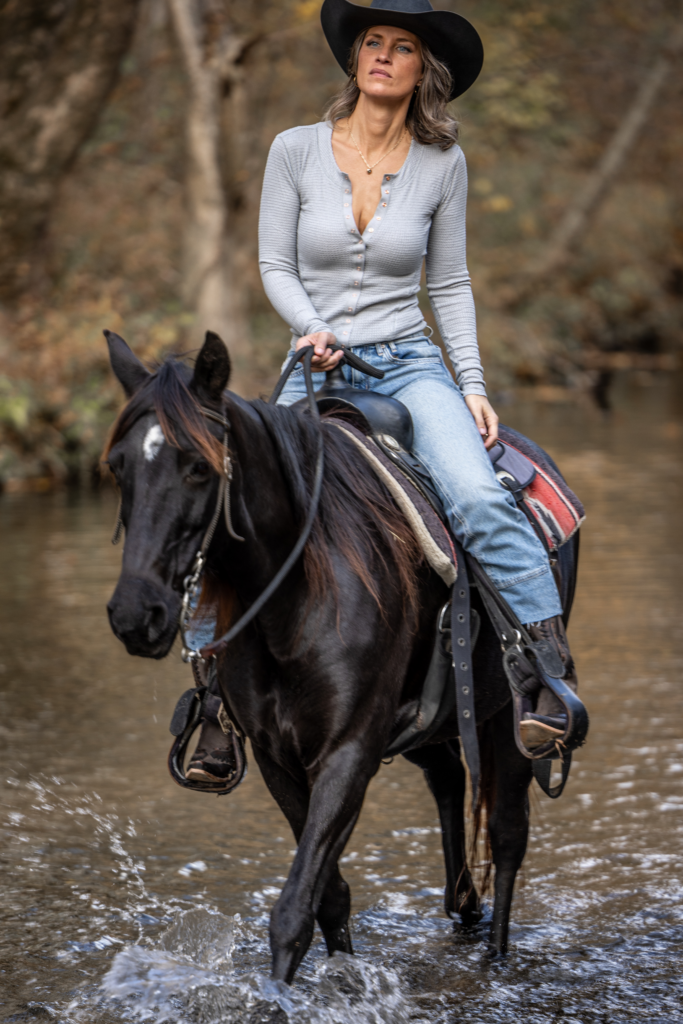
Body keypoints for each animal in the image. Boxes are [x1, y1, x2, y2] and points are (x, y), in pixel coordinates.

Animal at [104, 329, 581, 983]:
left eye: (199, 467)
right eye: (117, 467)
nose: (134, 614)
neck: (297, 597)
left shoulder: (349, 750)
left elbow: (294, 908)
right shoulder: (277, 756)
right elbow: (327, 897)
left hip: (507, 720)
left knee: (509, 837)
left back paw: (497, 956)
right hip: (432, 724)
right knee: (449, 782)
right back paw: (462, 908)